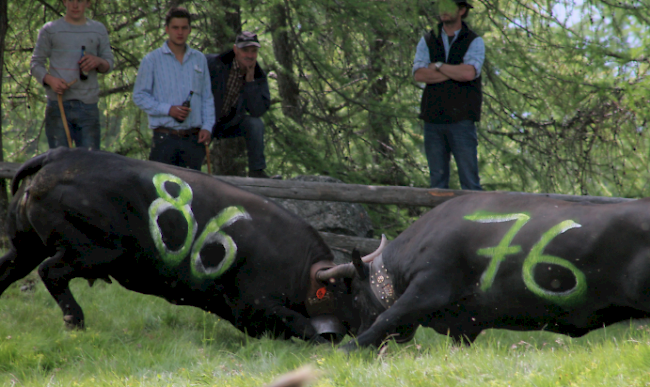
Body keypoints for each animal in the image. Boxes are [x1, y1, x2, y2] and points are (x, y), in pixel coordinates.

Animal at [0, 148, 360, 342]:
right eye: (350, 295)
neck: (299, 269)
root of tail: (60, 154)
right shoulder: (251, 305)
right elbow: (302, 324)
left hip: (24, 246)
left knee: (8, 270)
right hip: (95, 251)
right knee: (51, 272)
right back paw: (76, 322)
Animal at [320, 192, 650, 354]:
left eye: (356, 295)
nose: (354, 329)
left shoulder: (428, 288)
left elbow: (387, 318)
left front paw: (342, 351)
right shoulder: (464, 327)